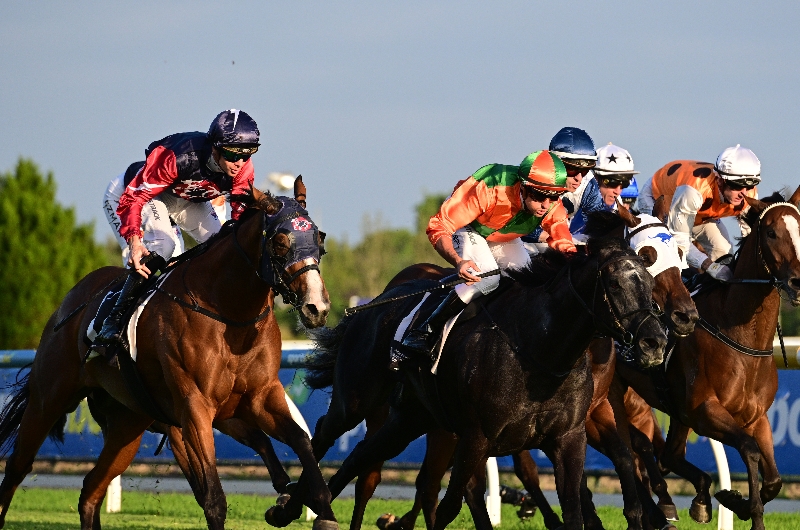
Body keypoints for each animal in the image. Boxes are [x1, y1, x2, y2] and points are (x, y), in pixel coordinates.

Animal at [0, 180, 338, 530]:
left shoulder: (259, 397)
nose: (317, 307)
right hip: (48, 400)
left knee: (91, 489)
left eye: (319, 240)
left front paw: (306, 506)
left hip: (127, 425)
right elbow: (214, 497)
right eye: (280, 242)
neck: (228, 313)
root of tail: (68, 302)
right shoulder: (195, 408)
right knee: (17, 467)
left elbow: (302, 441)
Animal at [266, 234, 667, 530]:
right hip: (356, 398)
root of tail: (374, 304)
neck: (539, 351)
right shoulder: (477, 436)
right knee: (322, 433)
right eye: (614, 282)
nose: (655, 341)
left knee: (360, 457)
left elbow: (572, 511)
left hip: (410, 419)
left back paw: (313, 508)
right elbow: (451, 506)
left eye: (650, 284)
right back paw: (289, 505)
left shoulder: (568, 438)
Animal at [374, 201, 697, 530]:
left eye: (678, 254)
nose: (685, 316)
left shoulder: (593, 409)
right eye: (649, 254)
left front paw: (645, 513)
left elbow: (622, 456)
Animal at [614, 187, 800, 530]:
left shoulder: (758, 417)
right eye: (771, 232)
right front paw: (742, 505)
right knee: (635, 446)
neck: (742, 337)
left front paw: (736, 502)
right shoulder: (704, 411)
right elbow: (749, 449)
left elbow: (774, 480)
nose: (797, 281)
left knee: (667, 455)